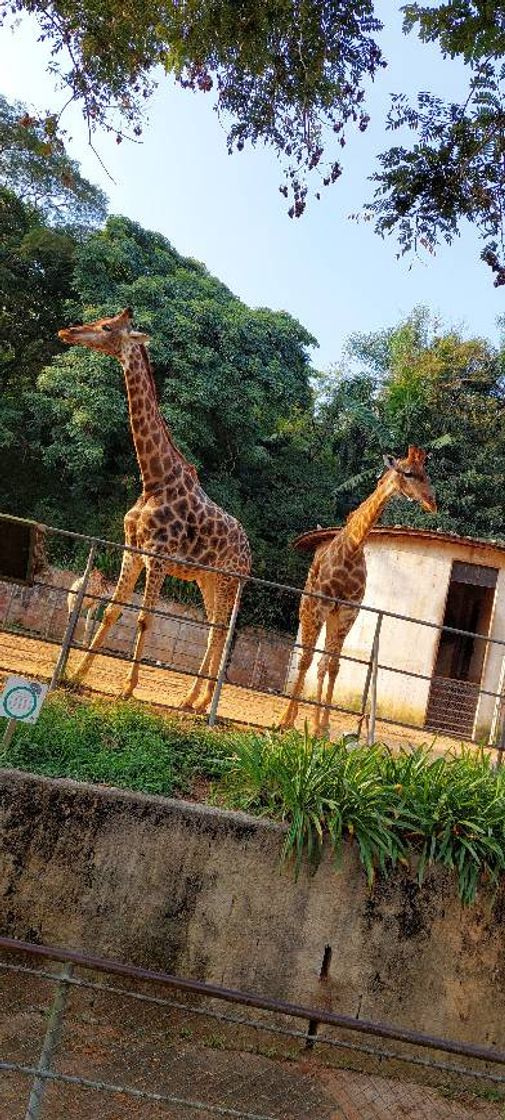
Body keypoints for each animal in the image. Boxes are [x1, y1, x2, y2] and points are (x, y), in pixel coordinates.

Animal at [58, 306, 251, 707]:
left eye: (107, 327)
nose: (67, 331)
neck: (154, 478)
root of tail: (251, 554)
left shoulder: (158, 557)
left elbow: (145, 618)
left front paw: (128, 687)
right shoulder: (131, 550)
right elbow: (112, 611)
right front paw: (77, 674)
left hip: (228, 580)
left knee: (218, 631)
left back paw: (198, 701)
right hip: (207, 579)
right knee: (215, 629)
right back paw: (196, 700)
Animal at [281, 445, 438, 734]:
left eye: (426, 474)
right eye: (409, 473)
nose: (432, 502)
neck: (353, 547)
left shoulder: (348, 611)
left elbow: (333, 665)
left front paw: (322, 726)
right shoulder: (322, 605)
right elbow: (308, 659)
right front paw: (287, 720)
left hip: (332, 616)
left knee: (321, 663)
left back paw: (313, 722)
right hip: (309, 610)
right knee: (305, 657)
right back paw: (290, 716)